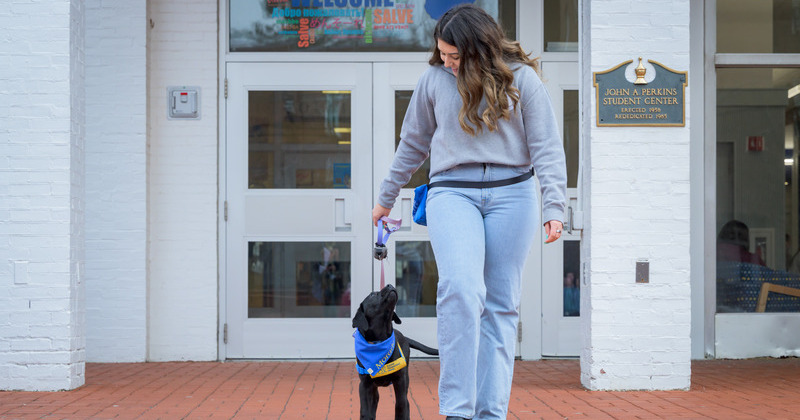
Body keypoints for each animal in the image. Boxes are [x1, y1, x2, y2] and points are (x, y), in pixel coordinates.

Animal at [352, 284, 438, 418]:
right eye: (372, 294)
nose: (390, 285)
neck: (379, 341)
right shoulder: (365, 384)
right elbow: (365, 412)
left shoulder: (400, 381)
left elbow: (401, 406)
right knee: (375, 401)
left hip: (405, 377)